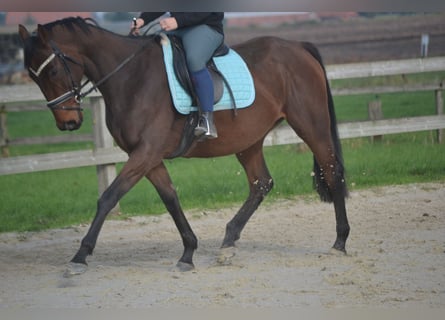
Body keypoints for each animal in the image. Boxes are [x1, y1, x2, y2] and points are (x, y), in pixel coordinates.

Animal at [18, 16, 350, 272]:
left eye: (53, 70)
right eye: (33, 77)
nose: (68, 122)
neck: (131, 77)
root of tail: (299, 47)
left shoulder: (145, 153)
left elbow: (109, 198)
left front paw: (80, 256)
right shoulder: (148, 157)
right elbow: (170, 199)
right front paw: (188, 252)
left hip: (311, 126)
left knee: (331, 172)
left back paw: (340, 241)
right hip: (249, 140)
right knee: (261, 183)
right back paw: (228, 243)